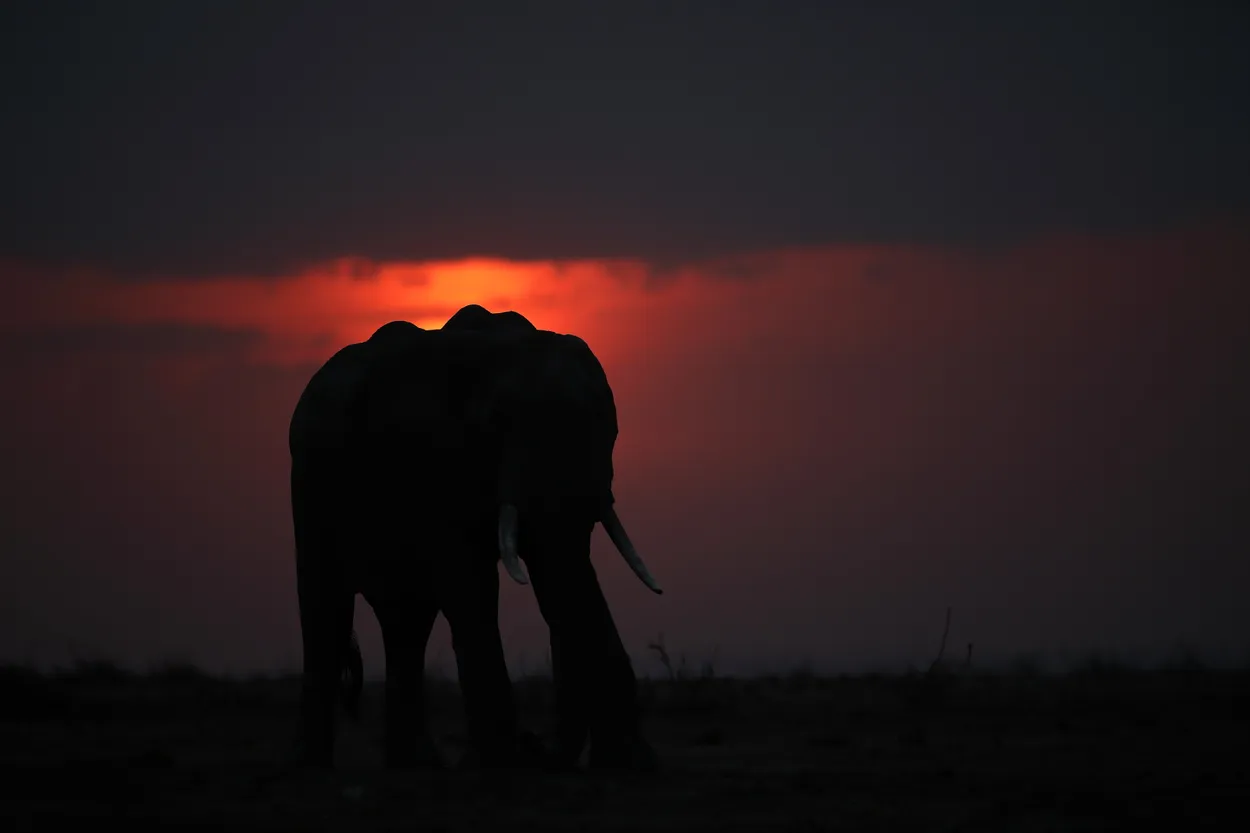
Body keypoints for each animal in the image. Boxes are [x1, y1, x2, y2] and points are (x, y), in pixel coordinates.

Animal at [289, 306, 661, 772]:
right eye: (496, 425)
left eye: (609, 426)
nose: (540, 748)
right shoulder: (438, 463)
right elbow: (472, 586)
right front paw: (505, 766)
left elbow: (560, 577)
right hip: (310, 485)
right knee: (327, 611)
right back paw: (317, 768)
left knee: (407, 622)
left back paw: (415, 767)